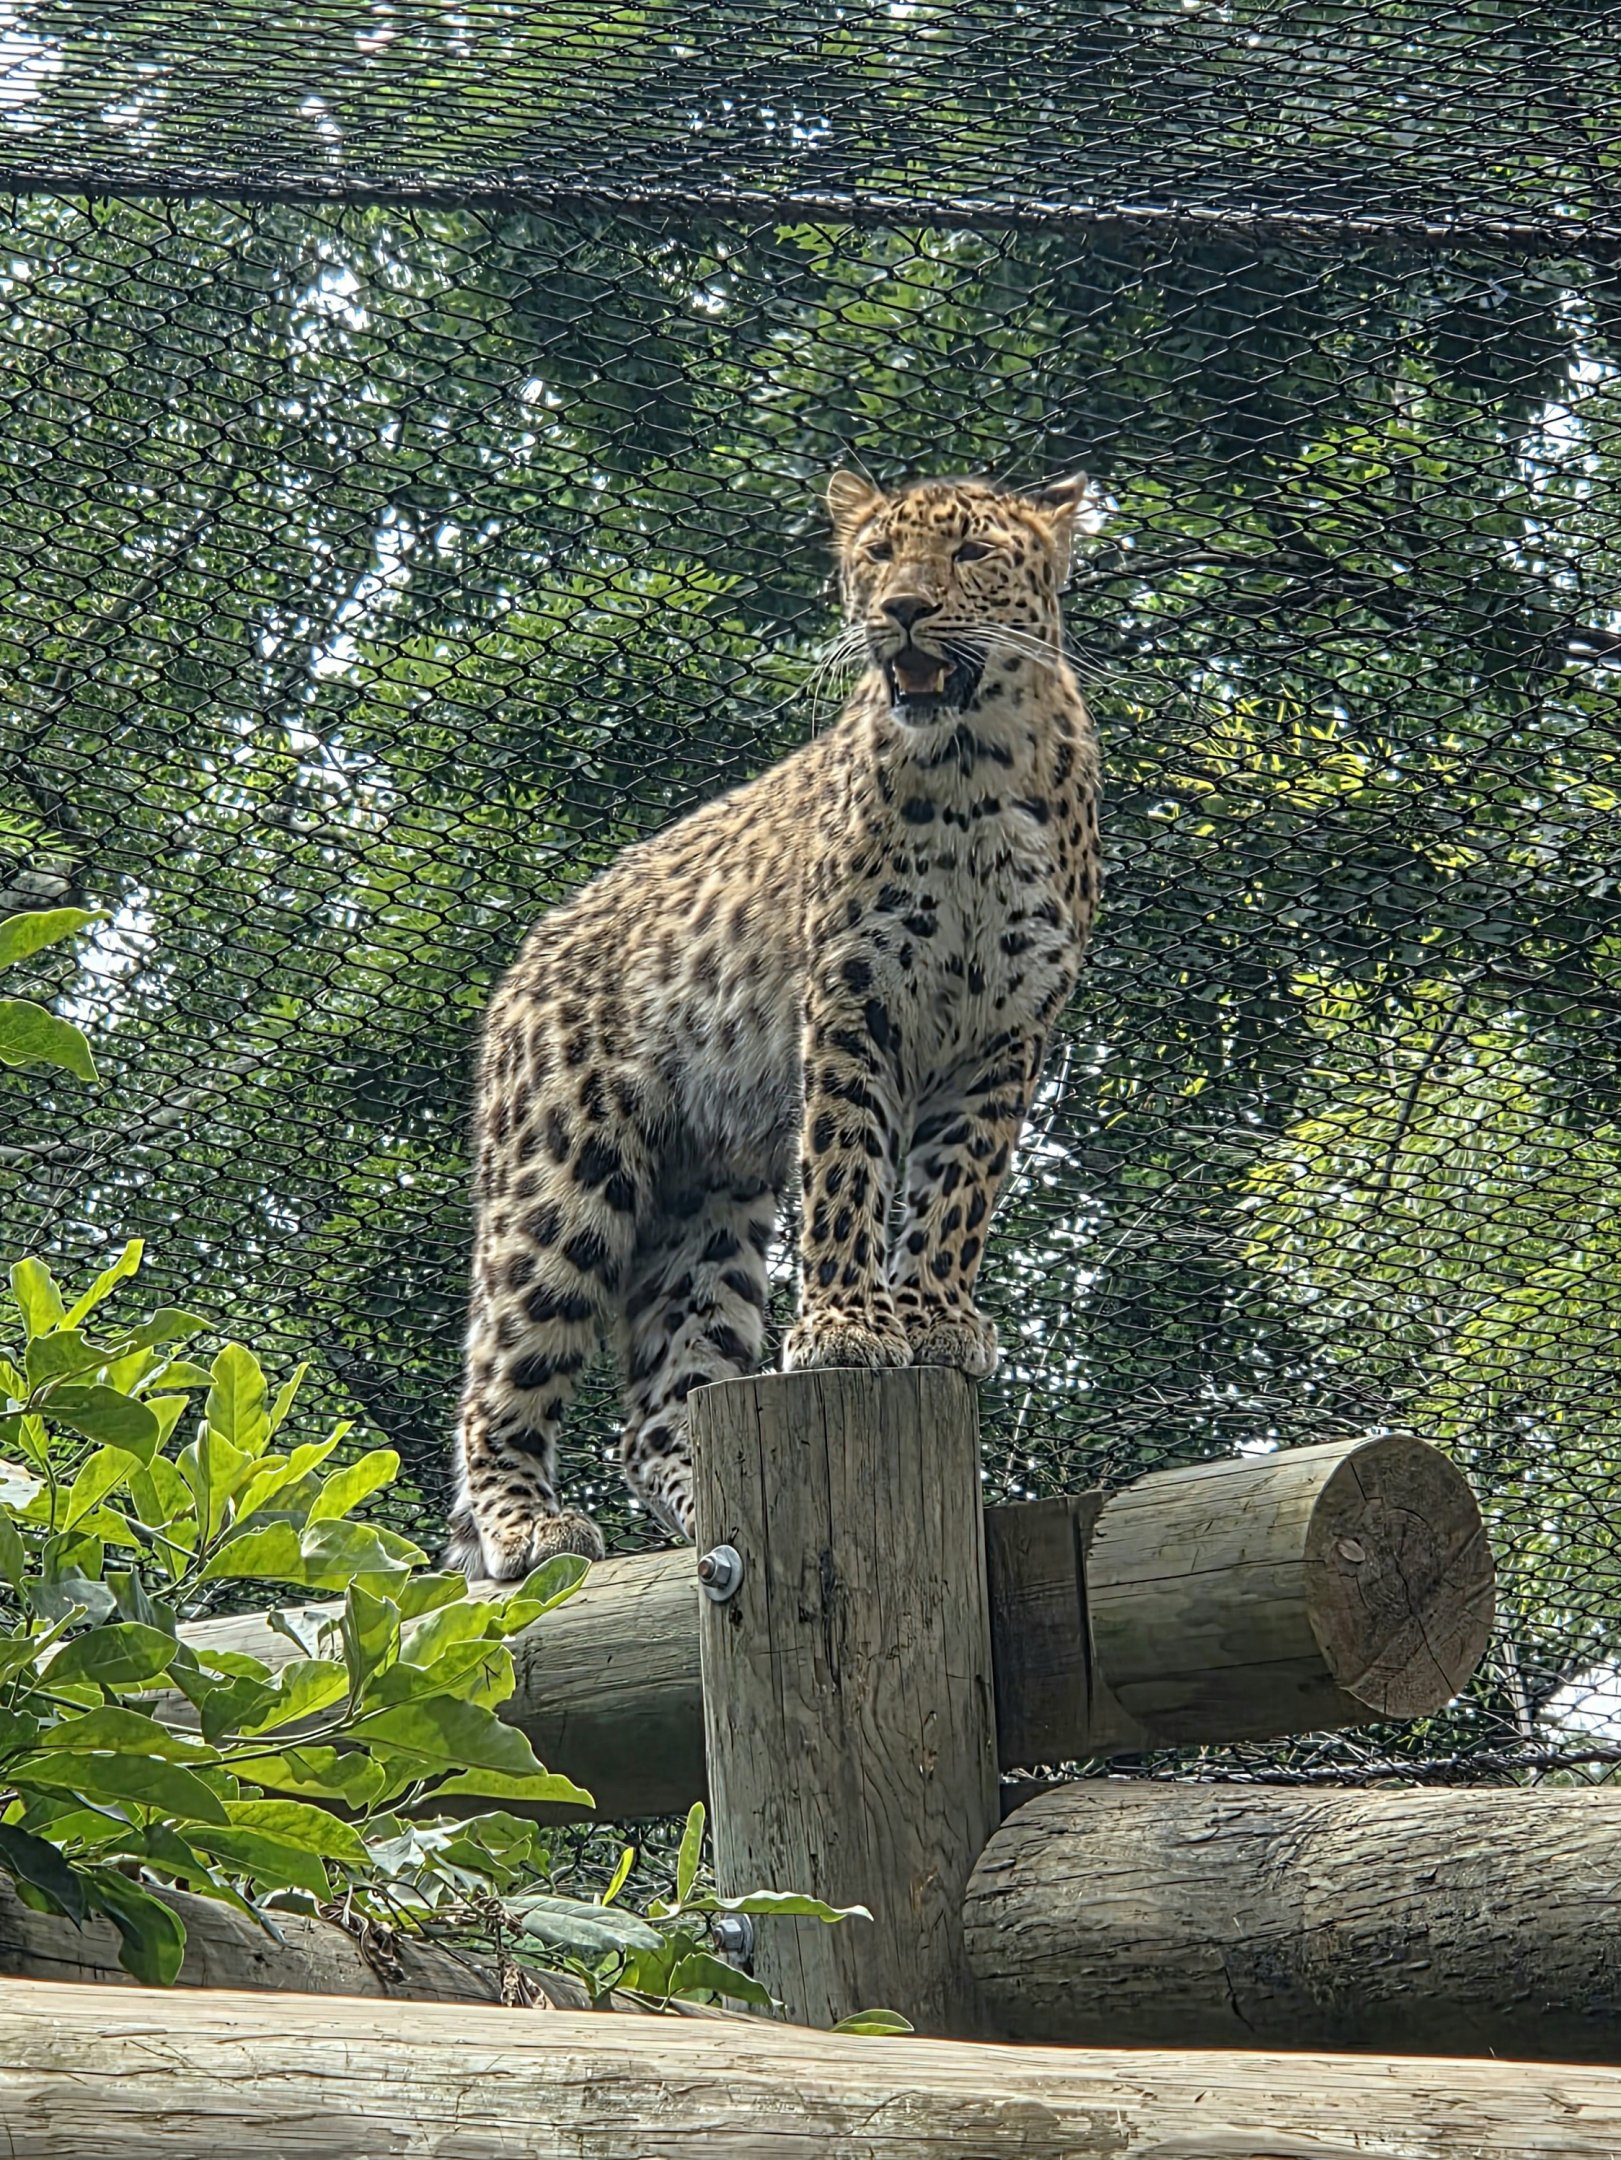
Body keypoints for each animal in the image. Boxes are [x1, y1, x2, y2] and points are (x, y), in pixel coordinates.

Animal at [445, 468, 1103, 1579]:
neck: (970, 771)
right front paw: (844, 1327)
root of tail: (524, 961)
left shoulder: (1007, 1031)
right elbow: (848, 1172)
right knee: (499, 1365)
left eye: (970, 554)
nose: (903, 610)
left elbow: (957, 1191)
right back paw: (527, 1526)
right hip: (560, 1178)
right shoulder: (851, 1000)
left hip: (706, 1203)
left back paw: (707, 1509)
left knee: (659, 1407)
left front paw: (935, 1320)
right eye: (877, 554)